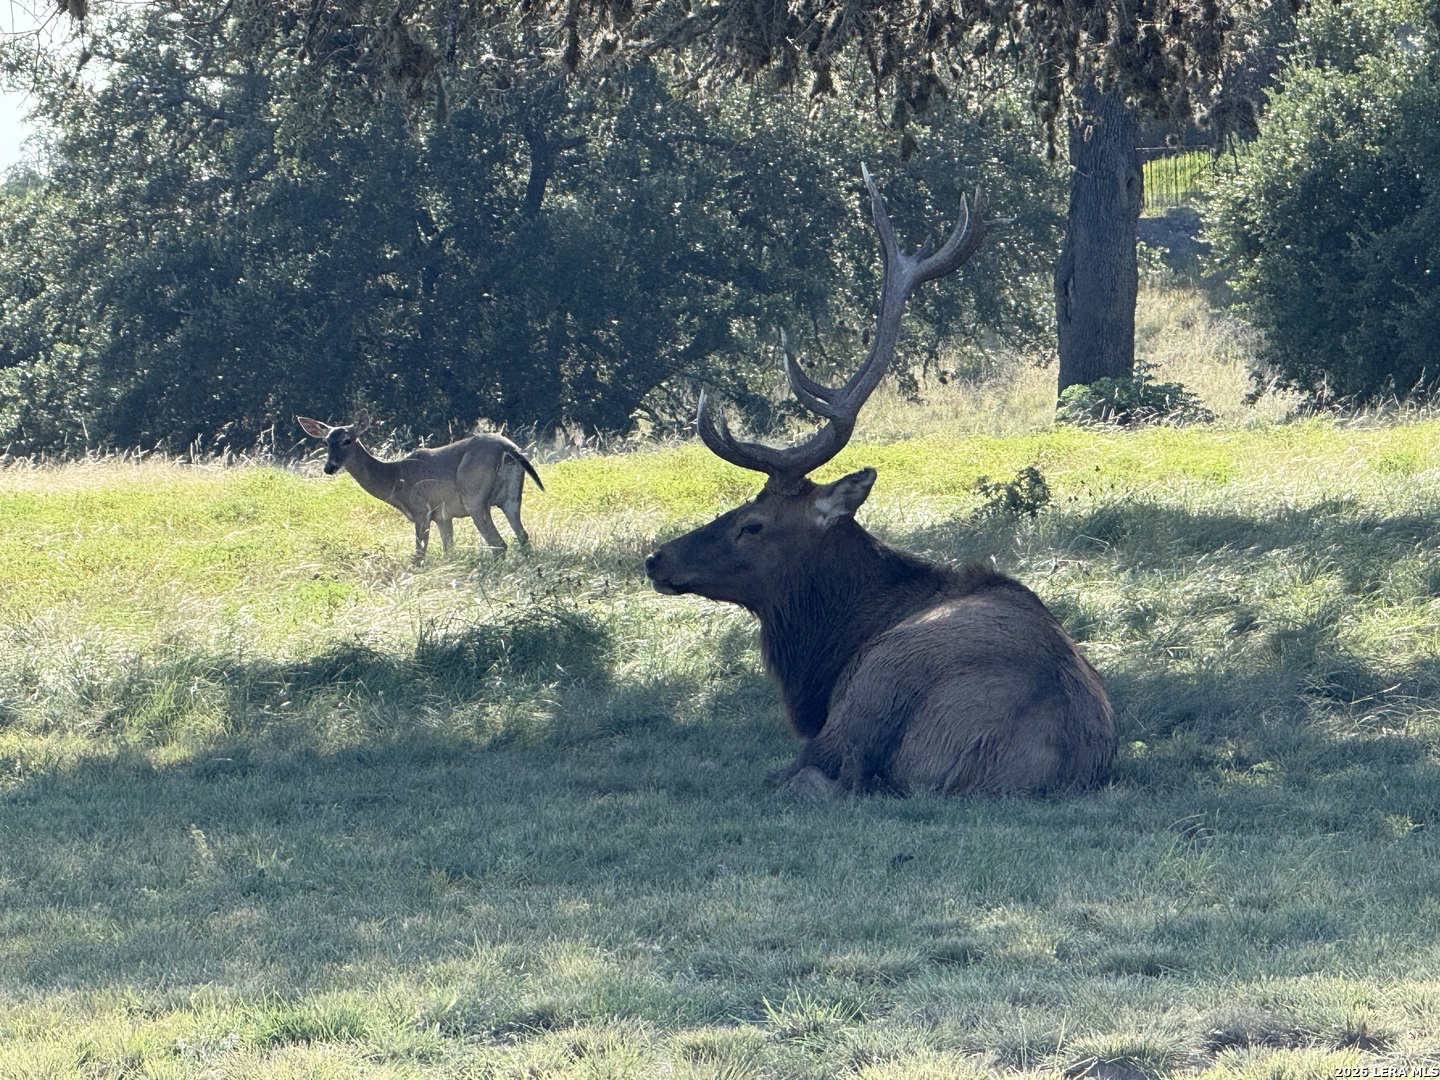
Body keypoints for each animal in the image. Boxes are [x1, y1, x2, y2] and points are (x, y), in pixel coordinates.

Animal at [296, 411, 544, 559]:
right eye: (325, 442)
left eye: (347, 440)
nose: (329, 467)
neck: (395, 480)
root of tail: (508, 448)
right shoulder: (443, 515)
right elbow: (448, 551)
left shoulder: (421, 510)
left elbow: (419, 556)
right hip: (511, 497)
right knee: (522, 536)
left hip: (475, 497)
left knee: (498, 544)